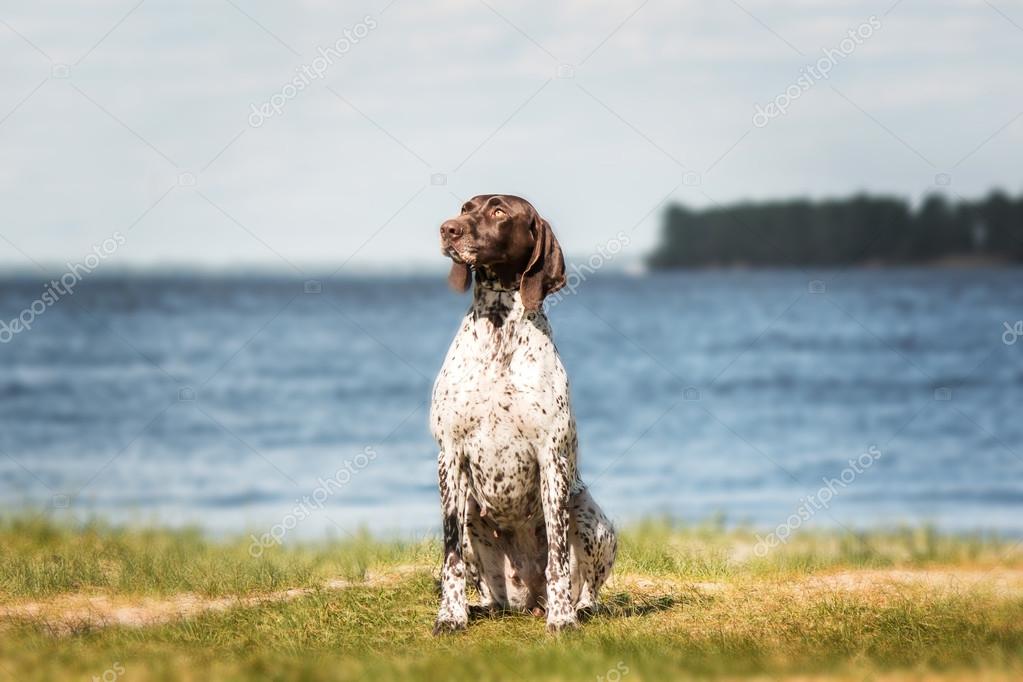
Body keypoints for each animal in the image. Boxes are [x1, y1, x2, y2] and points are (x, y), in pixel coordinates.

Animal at [429, 193, 613, 633]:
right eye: (465, 207)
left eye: (499, 212)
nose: (447, 229)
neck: (498, 329)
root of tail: (528, 600)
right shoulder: (449, 456)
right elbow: (450, 559)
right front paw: (450, 616)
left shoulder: (552, 457)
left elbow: (559, 559)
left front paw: (562, 620)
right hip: (470, 514)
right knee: (489, 591)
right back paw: (480, 606)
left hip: (591, 516)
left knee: (586, 586)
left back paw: (576, 608)